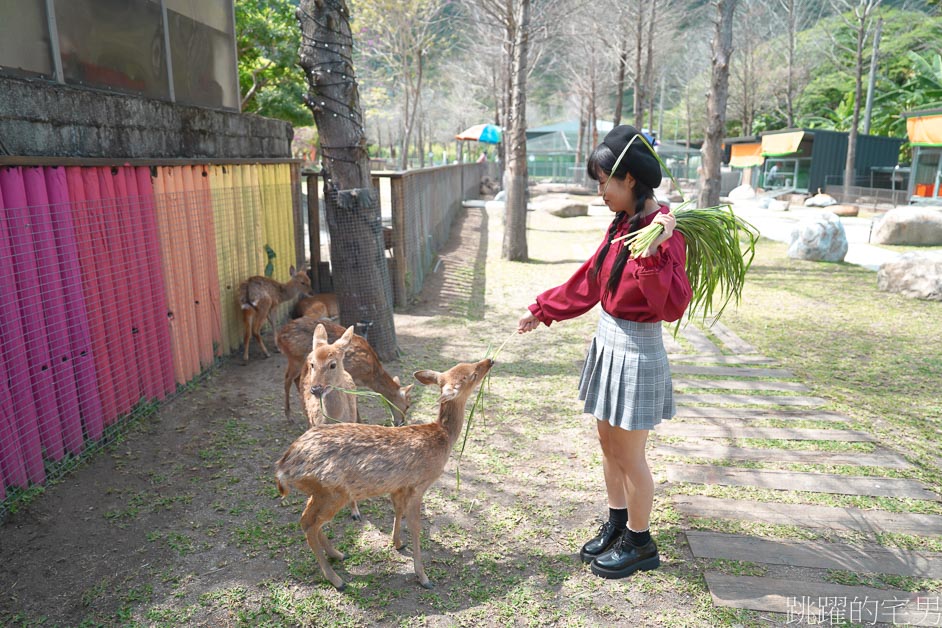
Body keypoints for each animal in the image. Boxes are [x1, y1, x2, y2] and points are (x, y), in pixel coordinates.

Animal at [272, 356, 494, 592]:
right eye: (472, 375)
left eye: (469, 366)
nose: (489, 360)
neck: (441, 437)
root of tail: (283, 468)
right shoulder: (419, 484)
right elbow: (415, 526)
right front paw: (423, 576)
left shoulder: (399, 486)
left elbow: (398, 510)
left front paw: (397, 543)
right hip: (332, 492)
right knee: (309, 523)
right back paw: (337, 579)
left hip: (318, 492)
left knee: (307, 520)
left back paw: (338, 554)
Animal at [276, 316, 416, 424]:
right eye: (407, 406)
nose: (401, 422)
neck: (370, 375)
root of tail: (279, 337)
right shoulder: (352, 375)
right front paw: (360, 421)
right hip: (295, 359)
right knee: (287, 379)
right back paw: (289, 416)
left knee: (295, 379)